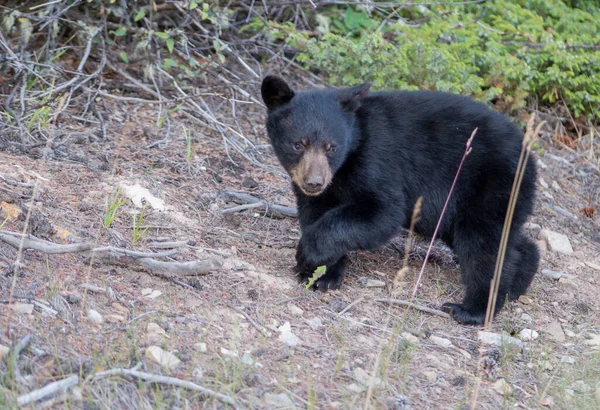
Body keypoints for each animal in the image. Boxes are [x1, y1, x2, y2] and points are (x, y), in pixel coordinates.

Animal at [262, 73, 540, 324]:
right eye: (298, 144)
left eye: (332, 147)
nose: (314, 182)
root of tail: (530, 159)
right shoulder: (321, 191)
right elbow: (314, 214)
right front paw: (322, 274)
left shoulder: (377, 158)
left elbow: (382, 212)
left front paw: (306, 254)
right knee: (506, 241)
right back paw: (519, 280)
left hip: (489, 185)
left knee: (483, 246)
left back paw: (472, 309)